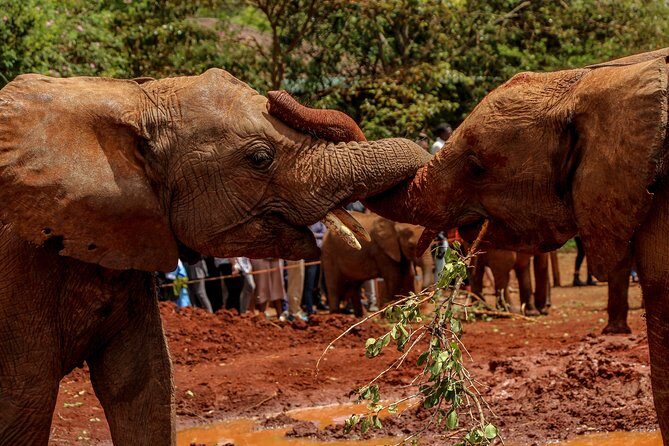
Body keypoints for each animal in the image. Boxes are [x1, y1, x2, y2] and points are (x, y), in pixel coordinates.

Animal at [0, 72, 430, 445]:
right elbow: (27, 396)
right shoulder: (17, 269)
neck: (133, 102)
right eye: (260, 158)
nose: (277, 94)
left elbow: (144, 384)